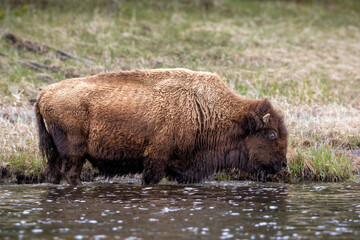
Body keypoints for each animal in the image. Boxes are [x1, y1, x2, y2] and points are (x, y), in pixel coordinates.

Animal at [35, 67, 288, 186]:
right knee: (70, 173)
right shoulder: (156, 158)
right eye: (271, 133)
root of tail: (44, 94)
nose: (283, 164)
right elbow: (151, 178)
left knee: (53, 173)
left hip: (57, 152)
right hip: (75, 151)